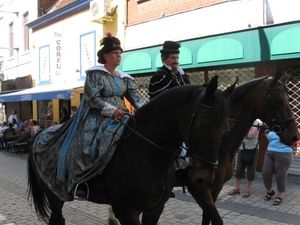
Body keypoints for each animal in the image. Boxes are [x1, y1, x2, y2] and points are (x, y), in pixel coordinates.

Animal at [27, 76, 236, 225]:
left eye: (226, 128)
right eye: (203, 125)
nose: (204, 178)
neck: (146, 155)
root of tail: (40, 134)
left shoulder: (155, 209)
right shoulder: (127, 211)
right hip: (55, 195)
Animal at [175, 69, 298, 224]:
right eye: (279, 100)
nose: (294, 137)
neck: (221, 144)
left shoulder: (216, 187)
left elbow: (207, 219)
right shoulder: (199, 189)